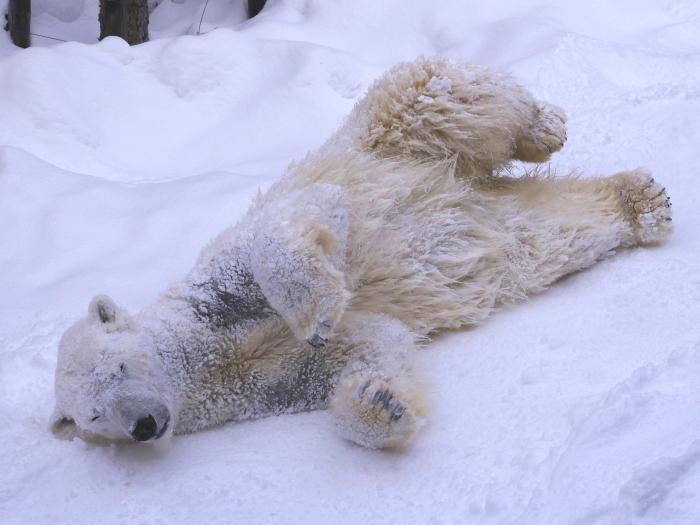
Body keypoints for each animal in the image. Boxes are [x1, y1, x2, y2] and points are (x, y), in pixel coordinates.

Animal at [52, 58, 668, 450]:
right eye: (92, 415)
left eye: (120, 367)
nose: (143, 425)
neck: (208, 355)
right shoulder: (266, 386)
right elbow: (373, 347)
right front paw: (381, 404)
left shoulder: (223, 288)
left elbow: (300, 223)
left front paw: (316, 311)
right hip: (507, 229)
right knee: (550, 231)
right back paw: (639, 202)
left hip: (393, 136)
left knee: (444, 98)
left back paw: (545, 128)